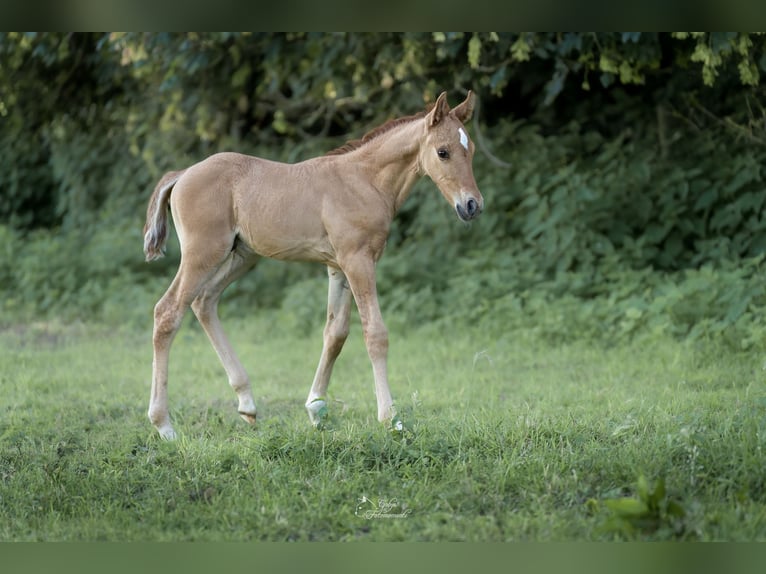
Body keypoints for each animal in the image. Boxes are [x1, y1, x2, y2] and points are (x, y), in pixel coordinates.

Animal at [143, 90, 483, 439]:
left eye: (470, 149)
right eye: (442, 152)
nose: (472, 205)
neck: (365, 181)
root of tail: (182, 174)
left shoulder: (338, 266)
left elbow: (335, 333)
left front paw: (316, 409)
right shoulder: (358, 260)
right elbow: (375, 333)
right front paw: (391, 418)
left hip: (241, 256)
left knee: (204, 302)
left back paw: (247, 404)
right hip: (203, 253)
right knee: (168, 311)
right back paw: (164, 425)